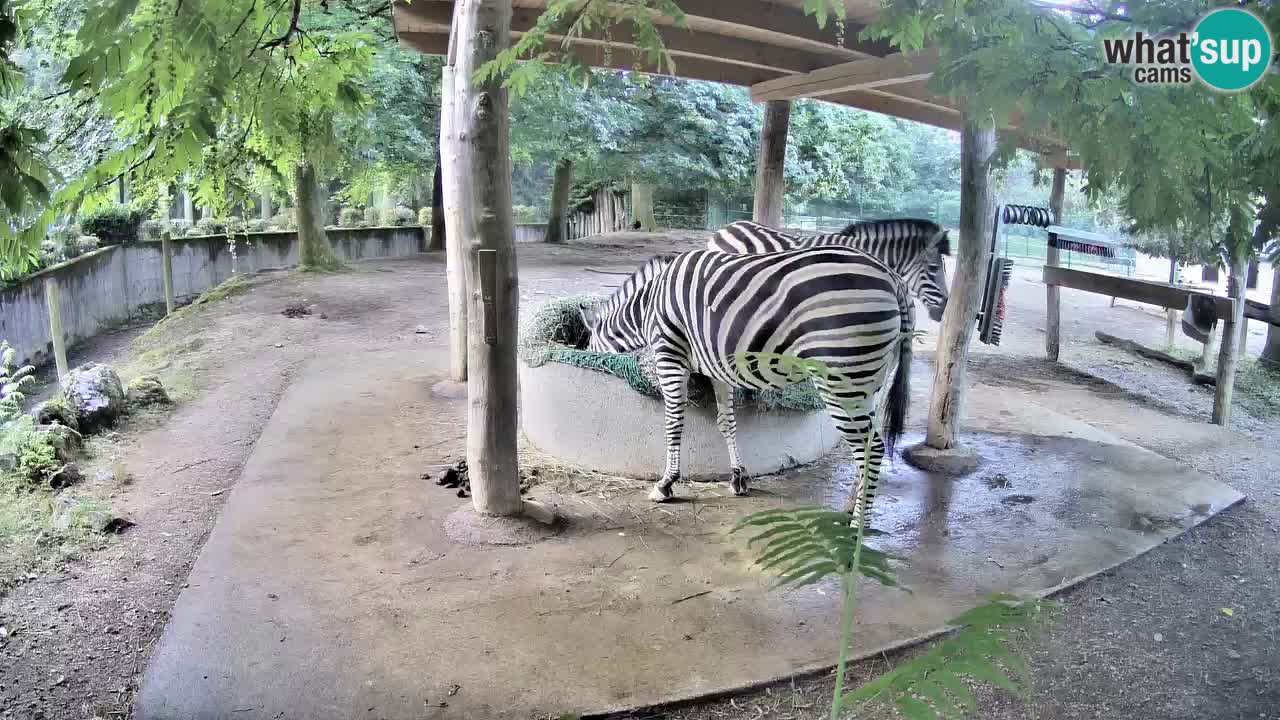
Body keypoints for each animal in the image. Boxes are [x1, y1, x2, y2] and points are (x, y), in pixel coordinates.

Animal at [579, 247, 915, 508]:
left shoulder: (669, 356)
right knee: (869, 446)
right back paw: (850, 510)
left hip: (840, 376)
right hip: (870, 378)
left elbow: (674, 423)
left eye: (589, 344)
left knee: (870, 448)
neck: (648, 303)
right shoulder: (718, 367)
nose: (586, 352)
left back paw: (853, 530)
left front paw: (666, 484)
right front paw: (738, 477)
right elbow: (727, 422)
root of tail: (892, 277)